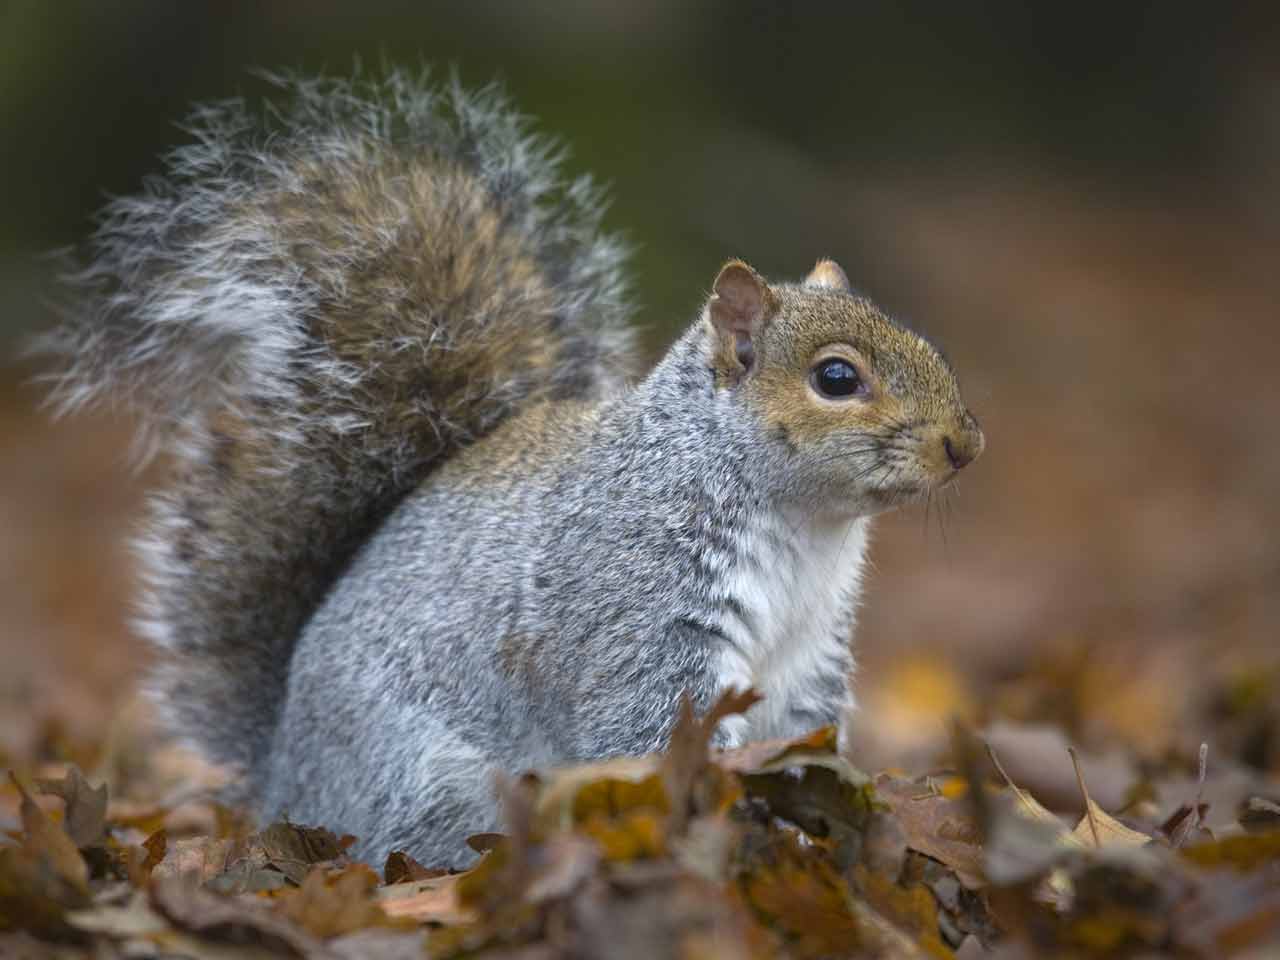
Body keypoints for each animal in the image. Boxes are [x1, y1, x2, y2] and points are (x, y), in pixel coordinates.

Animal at [37, 71, 977, 870]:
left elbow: (808, 737)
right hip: (435, 786)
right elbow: (651, 733)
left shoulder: (812, 655)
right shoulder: (639, 614)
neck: (803, 531)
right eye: (836, 378)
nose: (965, 444)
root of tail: (285, 781)